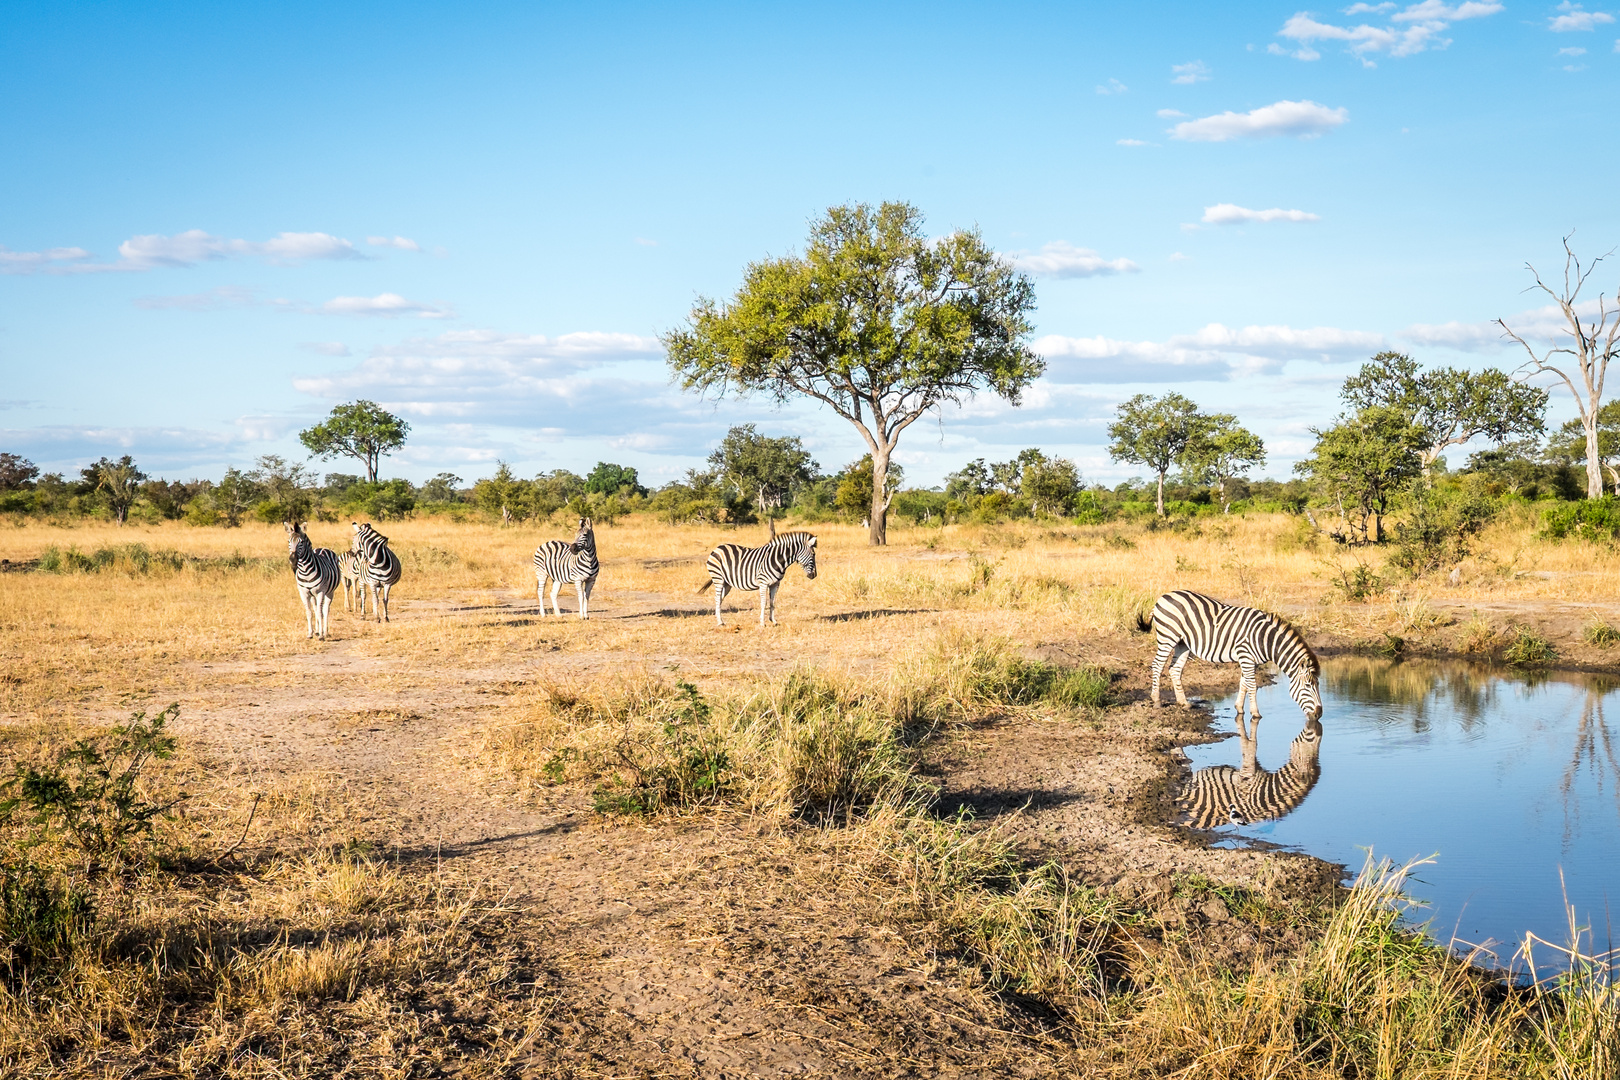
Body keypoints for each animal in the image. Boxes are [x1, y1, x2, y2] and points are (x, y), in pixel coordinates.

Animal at [1146, 592, 1321, 735]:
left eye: (1318, 686)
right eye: (1308, 686)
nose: (1319, 714)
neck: (1265, 639)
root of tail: (1163, 596)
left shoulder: (1250, 660)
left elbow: (1244, 683)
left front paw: (1239, 708)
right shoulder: (1246, 655)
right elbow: (1252, 685)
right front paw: (1255, 713)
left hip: (1182, 643)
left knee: (1174, 669)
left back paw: (1184, 703)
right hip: (1168, 637)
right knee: (1157, 665)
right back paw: (1156, 700)